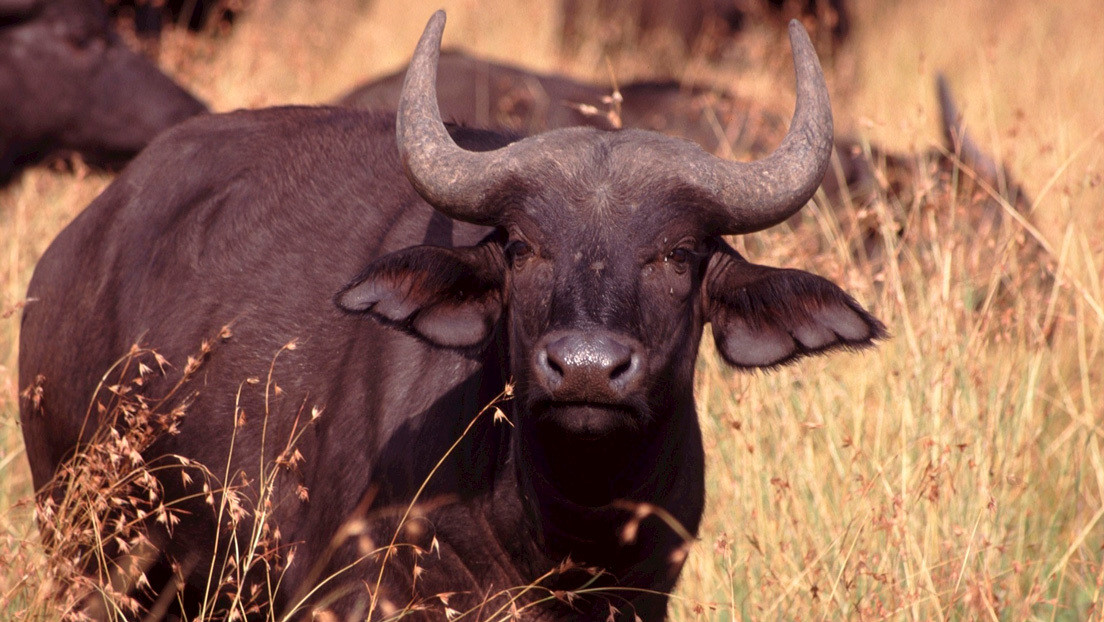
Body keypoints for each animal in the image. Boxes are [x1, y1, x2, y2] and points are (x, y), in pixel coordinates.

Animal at [21, 12, 883, 618]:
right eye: (525, 247)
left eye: (678, 253)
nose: (586, 370)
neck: (560, 534)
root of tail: (74, 251)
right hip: (87, 548)